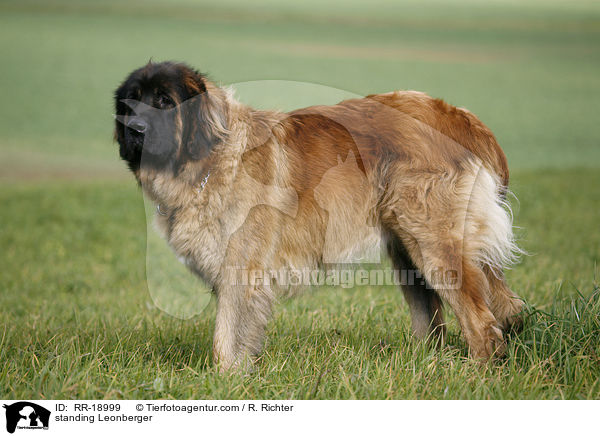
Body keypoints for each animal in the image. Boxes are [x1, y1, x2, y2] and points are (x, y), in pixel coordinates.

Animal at [115, 59, 524, 370]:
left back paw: (475, 374)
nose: (134, 130)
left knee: (481, 322)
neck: (212, 156)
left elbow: (226, 336)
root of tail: (460, 117)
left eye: (165, 102)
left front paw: (226, 379)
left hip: (434, 245)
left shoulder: (242, 268)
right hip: (407, 249)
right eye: (130, 104)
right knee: (435, 315)